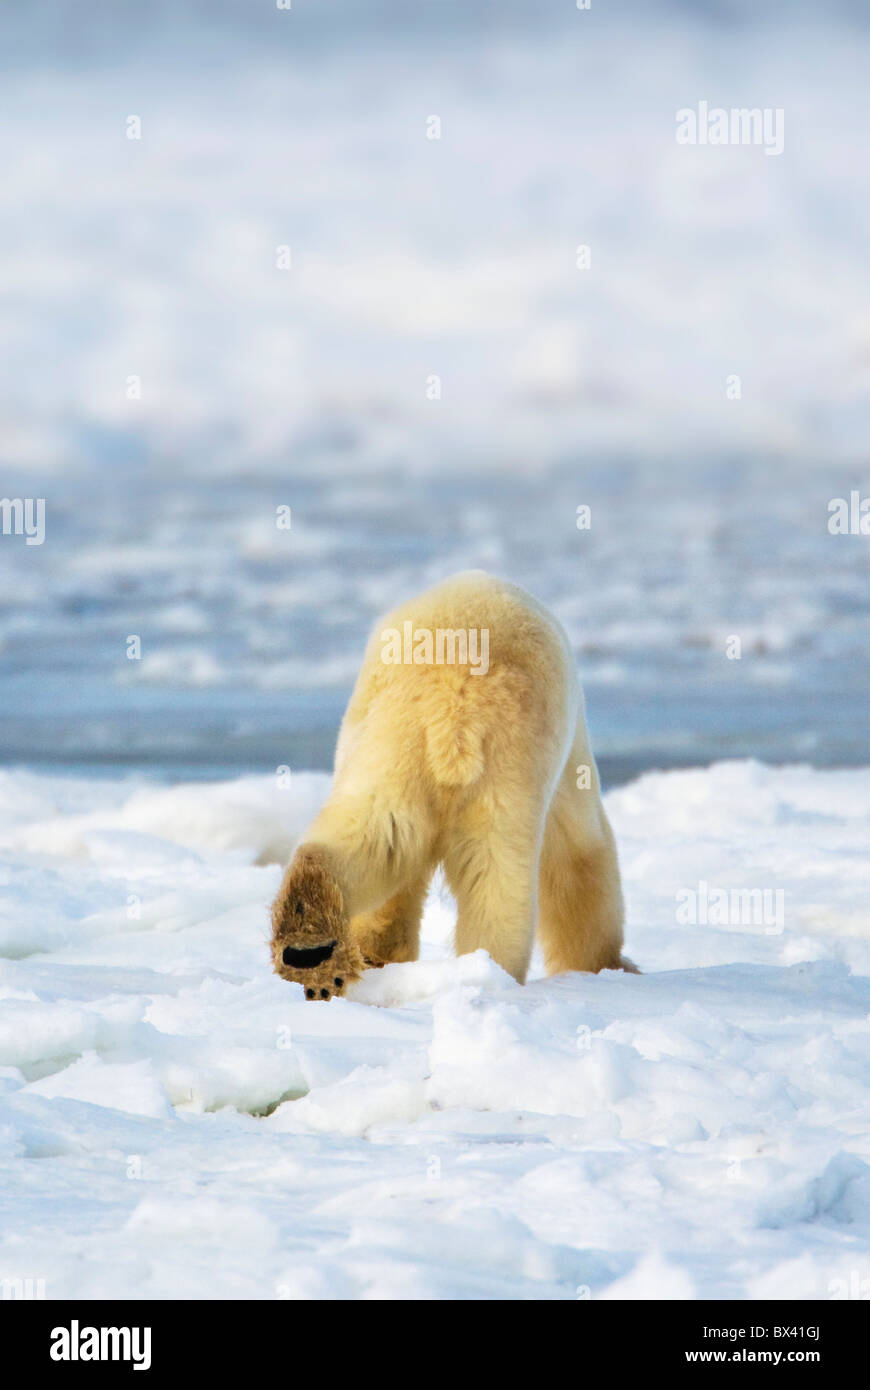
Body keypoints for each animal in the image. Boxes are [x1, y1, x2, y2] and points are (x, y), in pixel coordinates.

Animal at [271, 567, 630, 1000]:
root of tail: (454, 703)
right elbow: (580, 856)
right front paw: (606, 963)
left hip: (392, 751)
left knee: (372, 836)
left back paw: (312, 951)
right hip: (502, 773)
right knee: (498, 881)